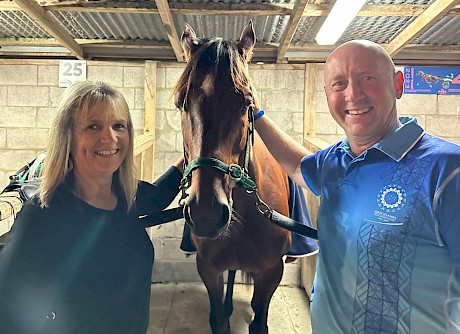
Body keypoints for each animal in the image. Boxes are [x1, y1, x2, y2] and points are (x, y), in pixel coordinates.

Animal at [172, 20, 292, 334]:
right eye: (180, 103)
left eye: (246, 102)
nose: (206, 212)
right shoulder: (208, 269)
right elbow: (218, 318)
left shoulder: (272, 272)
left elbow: (260, 319)